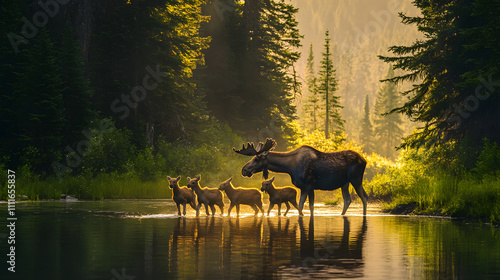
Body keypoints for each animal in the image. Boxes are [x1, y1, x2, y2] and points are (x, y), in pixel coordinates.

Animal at [233, 139, 368, 215]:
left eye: (256, 159)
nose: (244, 170)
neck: (289, 167)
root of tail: (365, 160)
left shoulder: (308, 185)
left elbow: (306, 206)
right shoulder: (306, 187)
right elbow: (305, 206)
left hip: (356, 179)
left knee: (364, 197)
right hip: (345, 183)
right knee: (348, 200)